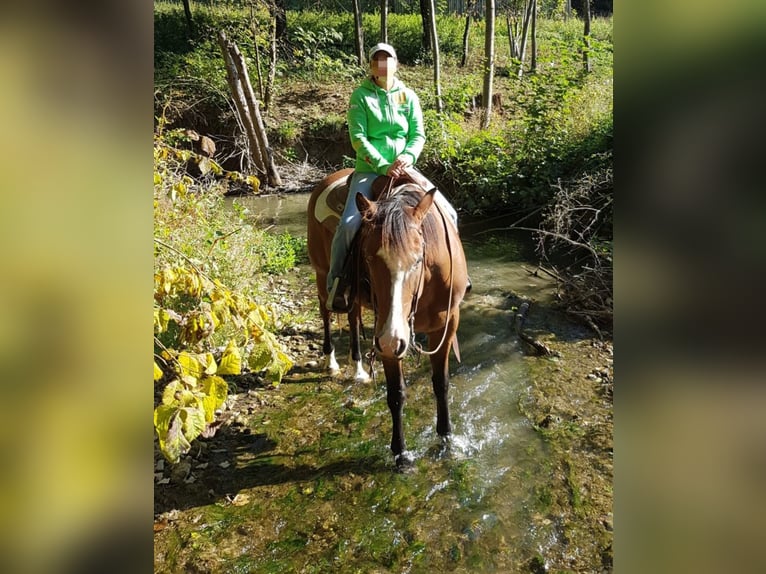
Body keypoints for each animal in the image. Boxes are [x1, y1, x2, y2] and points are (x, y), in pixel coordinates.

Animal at [307, 168, 469, 465]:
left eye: (418, 259)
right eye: (369, 259)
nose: (392, 340)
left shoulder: (446, 324)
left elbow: (441, 384)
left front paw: (446, 438)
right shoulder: (386, 337)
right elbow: (396, 394)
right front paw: (400, 453)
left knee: (352, 317)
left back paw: (358, 369)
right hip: (322, 275)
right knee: (325, 312)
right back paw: (331, 361)